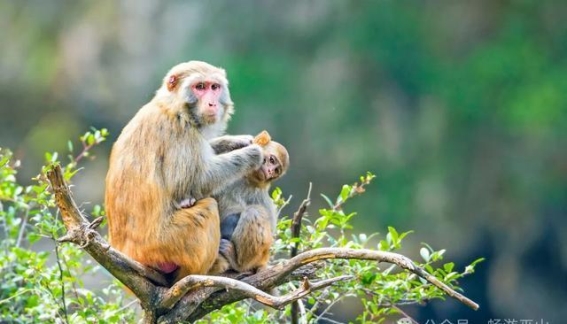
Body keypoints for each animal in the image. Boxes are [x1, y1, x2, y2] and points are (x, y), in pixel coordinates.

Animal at [105, 60, 262, 284]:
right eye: (200, 87)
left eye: (214, 87)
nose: (212, 103)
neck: (172, 106)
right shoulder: (179, 130)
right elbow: (191, 182)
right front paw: (252, 154)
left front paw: (236, 141)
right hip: (167, 244)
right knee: (208, 207)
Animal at [209, 130, 288, 274]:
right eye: (271, 160)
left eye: (276, 171)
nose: (270, 171)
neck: (246, 178)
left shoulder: (261, 196)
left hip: (257, 260)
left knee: (254, 211)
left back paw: (237, 263)